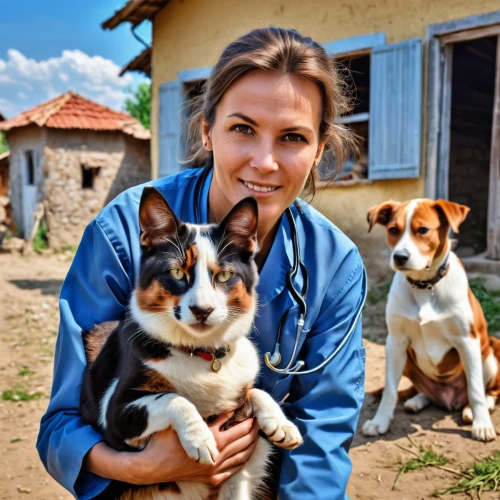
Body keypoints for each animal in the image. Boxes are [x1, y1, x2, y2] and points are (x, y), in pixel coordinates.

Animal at [80, 188, 302, 500]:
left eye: (224, 275)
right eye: (176, 273)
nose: (202, 310)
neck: (201, 354)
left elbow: (255, 391)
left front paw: (281, 423)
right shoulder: (116, 418)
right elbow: (174, 398)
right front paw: (199, 438)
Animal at [364, 199, 500, 442]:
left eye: (423, 230)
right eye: (393, 230)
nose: (399, 257)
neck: (425, 286)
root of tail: (450, 398)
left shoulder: (468, 340)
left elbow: (475, 389)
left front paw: (482, 425)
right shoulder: (395, 341)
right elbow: (389, 389)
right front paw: (380, 422)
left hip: (490, 352)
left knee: (489, 392)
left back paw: (470, 411)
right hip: (409, 361)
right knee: (424, 391)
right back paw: (417, 400)